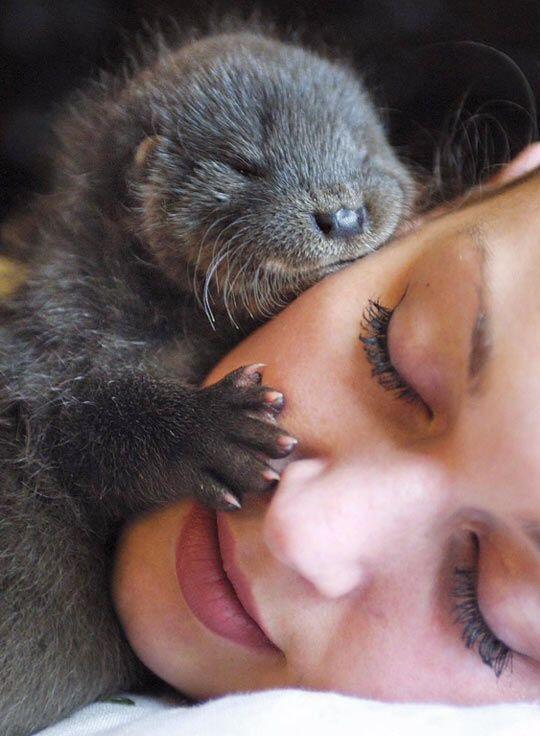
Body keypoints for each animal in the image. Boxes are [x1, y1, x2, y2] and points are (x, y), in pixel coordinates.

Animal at [0, 20, 414, 735]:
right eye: (245, 165)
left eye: (363, 150)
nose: (343, 215)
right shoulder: (49, 346)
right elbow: (78, 425)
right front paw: (211, 432)